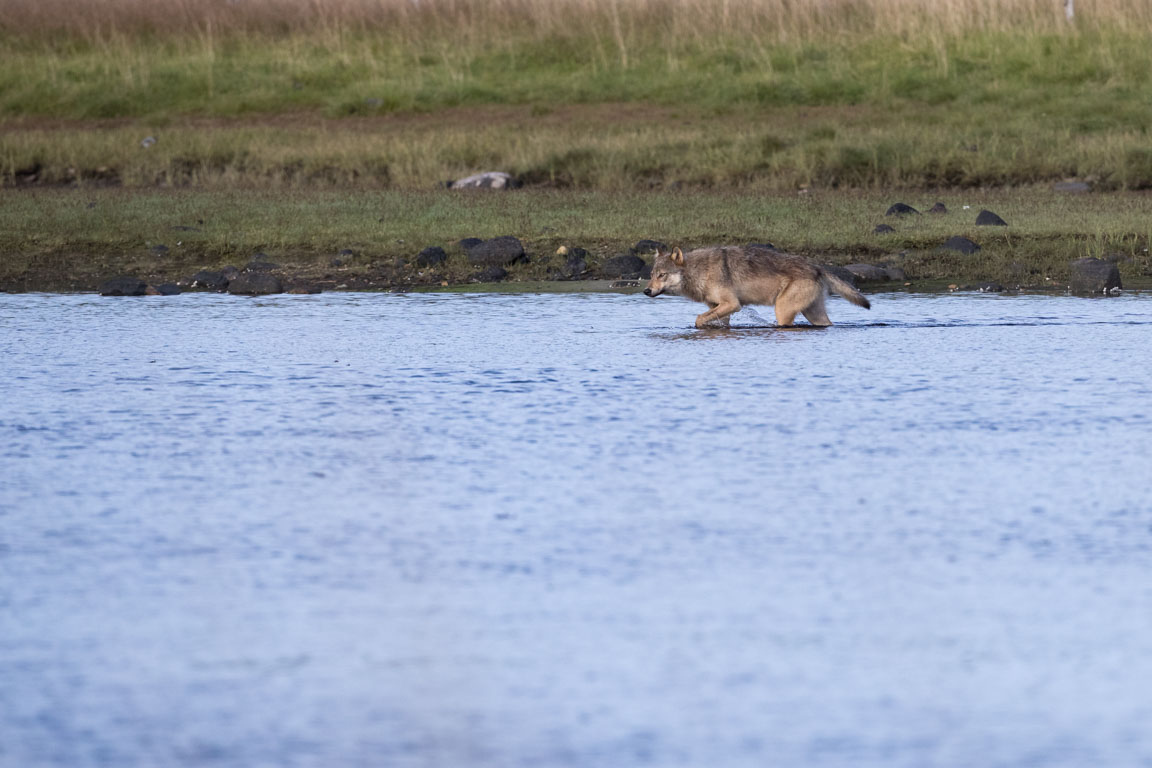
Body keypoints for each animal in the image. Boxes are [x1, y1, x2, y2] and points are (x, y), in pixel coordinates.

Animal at [645, 246, 866, 327]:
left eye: (662, 275)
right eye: (651, 275)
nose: (646, 291)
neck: (700, 271)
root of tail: (817, 266)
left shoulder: (733, 304)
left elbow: (698, 319)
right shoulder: (720, 308)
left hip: (782, 311)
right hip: (814, 314)